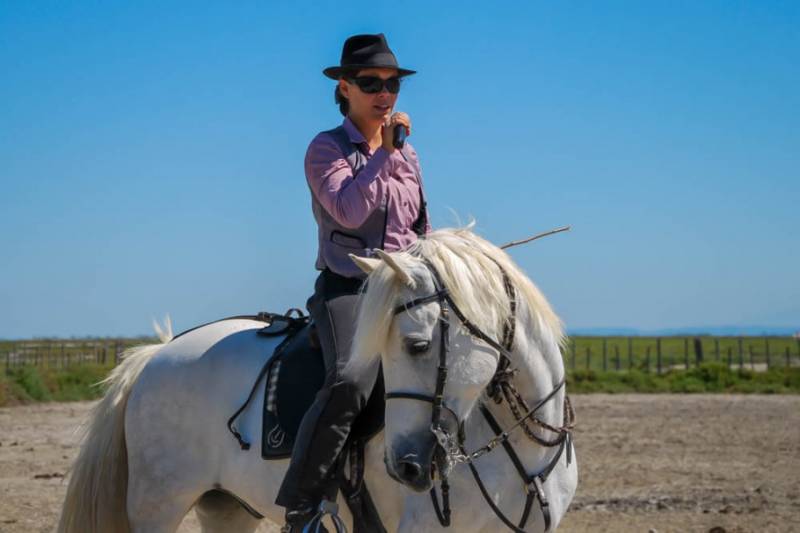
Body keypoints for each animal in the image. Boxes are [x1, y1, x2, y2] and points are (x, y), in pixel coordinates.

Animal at [59, 224, 580, 532]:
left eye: (416, 345)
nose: (405, 467)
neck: (525, 450)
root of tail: (158, 354)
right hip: (159, 505)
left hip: (225, 507)